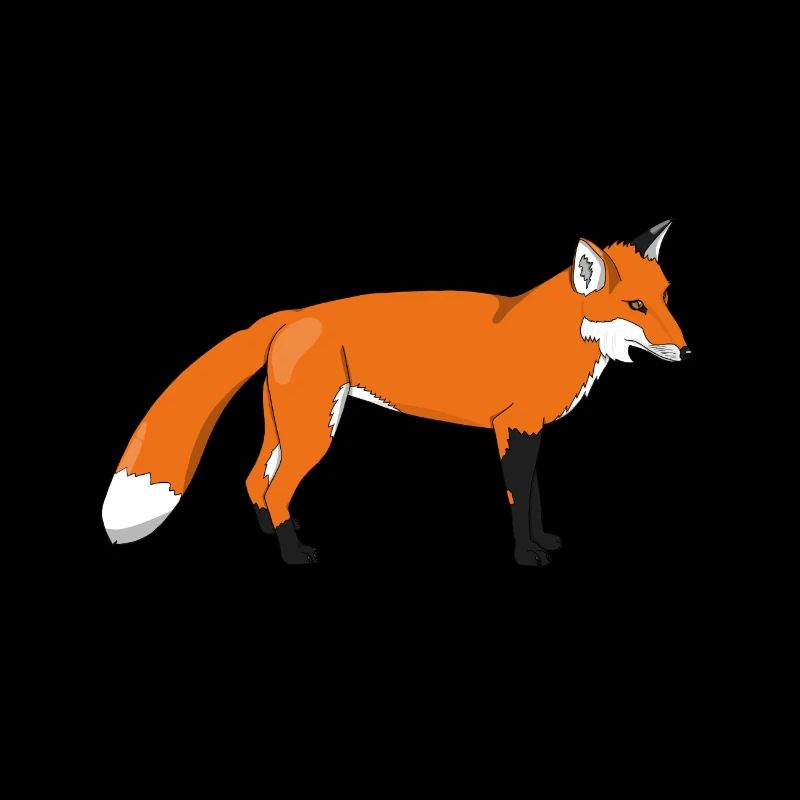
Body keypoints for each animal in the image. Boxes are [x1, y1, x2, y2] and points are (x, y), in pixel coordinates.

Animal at [102, 220, 690, 564]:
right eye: (636, 306)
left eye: (664, 298)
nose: (688, 354)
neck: (554, 336)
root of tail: (293, 313)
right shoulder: (513, 428)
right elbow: (517, 497)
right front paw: (526, 554)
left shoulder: (529, 430)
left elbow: (535, 496)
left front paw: (541, 540)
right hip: (315, 432)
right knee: (275, 488)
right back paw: (294, 553)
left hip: (286, 426)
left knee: (254, 482)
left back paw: (272, 534)